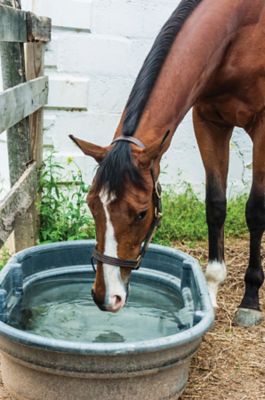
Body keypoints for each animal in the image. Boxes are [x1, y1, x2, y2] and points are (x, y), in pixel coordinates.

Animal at [69, 0, 264, 324]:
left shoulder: (263, 126)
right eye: (91, 204)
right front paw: (211, 291)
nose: (105, 297)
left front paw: (250, 300)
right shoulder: (208, 121)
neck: (240, 30)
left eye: (140, 214)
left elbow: (255, 211)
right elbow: (215, 205)